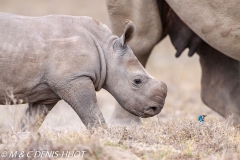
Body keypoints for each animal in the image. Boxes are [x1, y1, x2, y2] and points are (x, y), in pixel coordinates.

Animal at [0, 12, 167, 130]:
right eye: (137, 81)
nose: (156, 108)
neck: (106, 50)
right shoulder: (74, 79)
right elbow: (92, 114)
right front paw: (103, 139)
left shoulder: (46, 94)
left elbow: (31, 122)